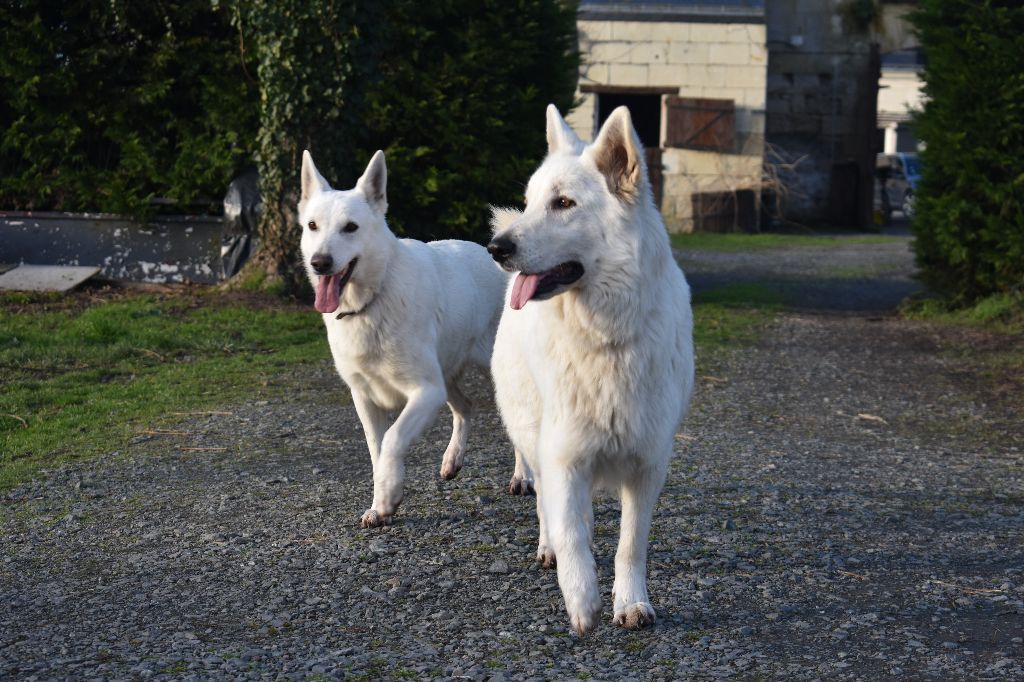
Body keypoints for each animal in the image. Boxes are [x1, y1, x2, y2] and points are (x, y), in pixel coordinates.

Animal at [301, 148, 509, 524]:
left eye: (350, 228)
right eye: (312, 226)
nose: (319, 262)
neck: (372, 300)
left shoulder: (425, 391)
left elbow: (393, 441)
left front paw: (389, 496)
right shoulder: (365, 398)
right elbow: (377, 449)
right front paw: (380, 503)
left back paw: (523, 478)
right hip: (447, 374)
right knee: (465, 407)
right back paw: (452, 458)